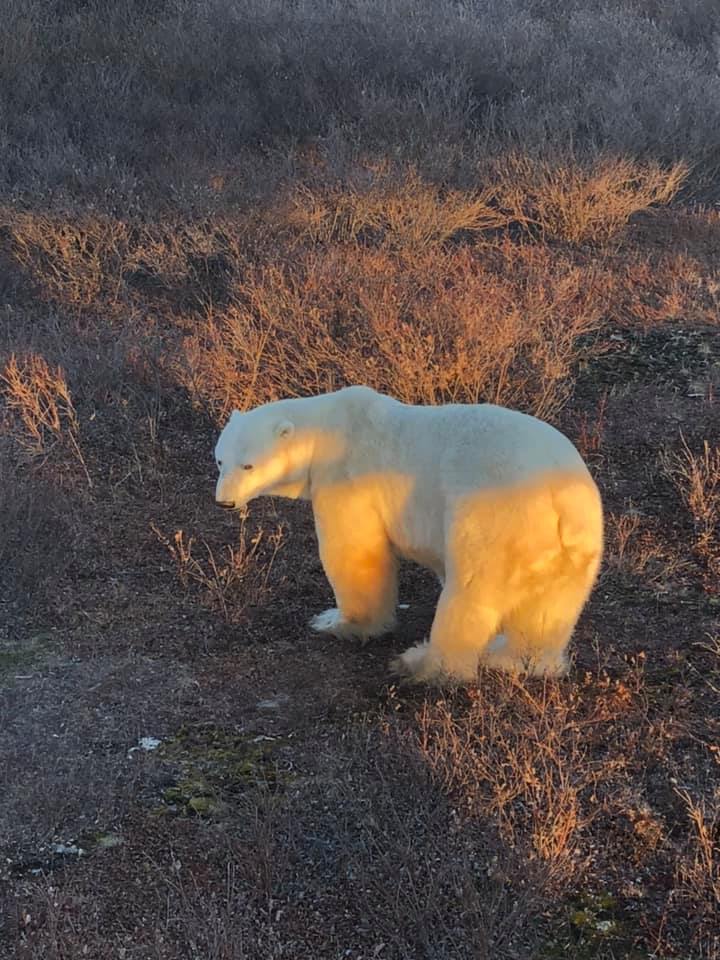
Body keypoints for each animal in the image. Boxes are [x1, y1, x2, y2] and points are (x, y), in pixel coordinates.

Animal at [212, 386, 600, 688]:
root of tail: (559, 497)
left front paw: (337, 622)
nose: (225, 502)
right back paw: (515, 659)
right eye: (219, 460)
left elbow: (355, 552)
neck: (327, 431)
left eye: (248, 465)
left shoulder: (347, 478)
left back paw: (421, 664)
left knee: (469, 592)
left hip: (494, 516)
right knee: (549, 610)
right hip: (574, 545)